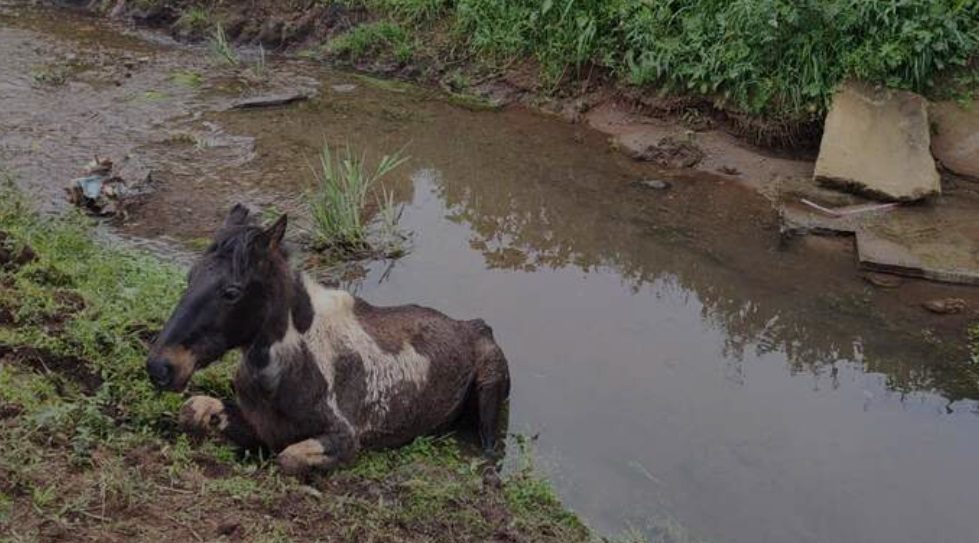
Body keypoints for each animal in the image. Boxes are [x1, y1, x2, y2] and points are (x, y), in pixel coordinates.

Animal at [147, 204, 512, 476]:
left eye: (232, 292)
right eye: (190, 277)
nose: (160, 367)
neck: (279, 374)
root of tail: (478, 326)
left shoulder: (345, 439)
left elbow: (288, 458)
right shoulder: (262, 427)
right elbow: (193, 410)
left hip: (489, 396)